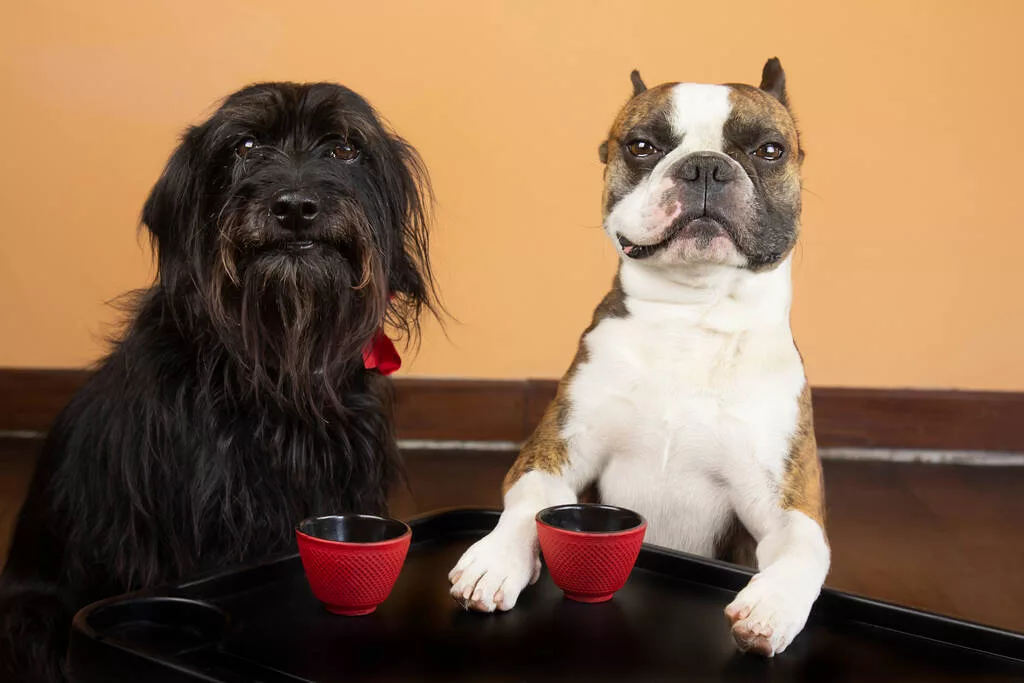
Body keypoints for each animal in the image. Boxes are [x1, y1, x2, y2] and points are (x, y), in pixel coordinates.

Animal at [446, 58, 823, 655]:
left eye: (770, 150)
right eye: (642, 146)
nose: (705, 168)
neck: (690, 314)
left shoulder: (787, 499)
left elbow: (805, 548)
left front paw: (773, 605)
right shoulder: (556, 452)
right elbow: (529, 505)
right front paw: (495, 559)